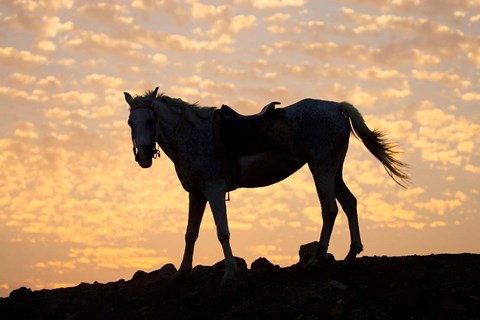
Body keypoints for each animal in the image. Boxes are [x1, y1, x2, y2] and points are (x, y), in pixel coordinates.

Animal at [124, 87, 408, 284]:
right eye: (130, 122)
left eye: (151, 120)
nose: (143, 158)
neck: (193, 135)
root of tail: (337, 107)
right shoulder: (196, 194)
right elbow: (190, 234)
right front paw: (182, 273)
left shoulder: (214, 190)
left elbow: (222, 232)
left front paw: (229, 275)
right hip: (334, 171)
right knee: (349, 203)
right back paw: (352, 253)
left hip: (322, 169)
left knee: (330, 209)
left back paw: (315, 261)